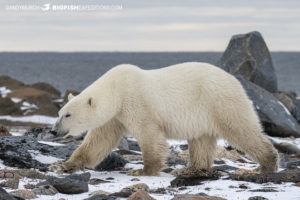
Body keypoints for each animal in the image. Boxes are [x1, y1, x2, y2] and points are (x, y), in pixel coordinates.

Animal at [49, 62, 278, 175]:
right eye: (59, 113)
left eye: (68, 114)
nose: (53, 130)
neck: (117, 90)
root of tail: (235, 80)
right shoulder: (115, 116)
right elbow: (98, 141)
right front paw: (63, 166)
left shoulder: (135, 101)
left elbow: (150, 135)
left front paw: (143, 171)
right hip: (203, 114)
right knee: (201, 139)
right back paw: (194, 168)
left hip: (220, 102)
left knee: (241, 130)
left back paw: (266, 165)